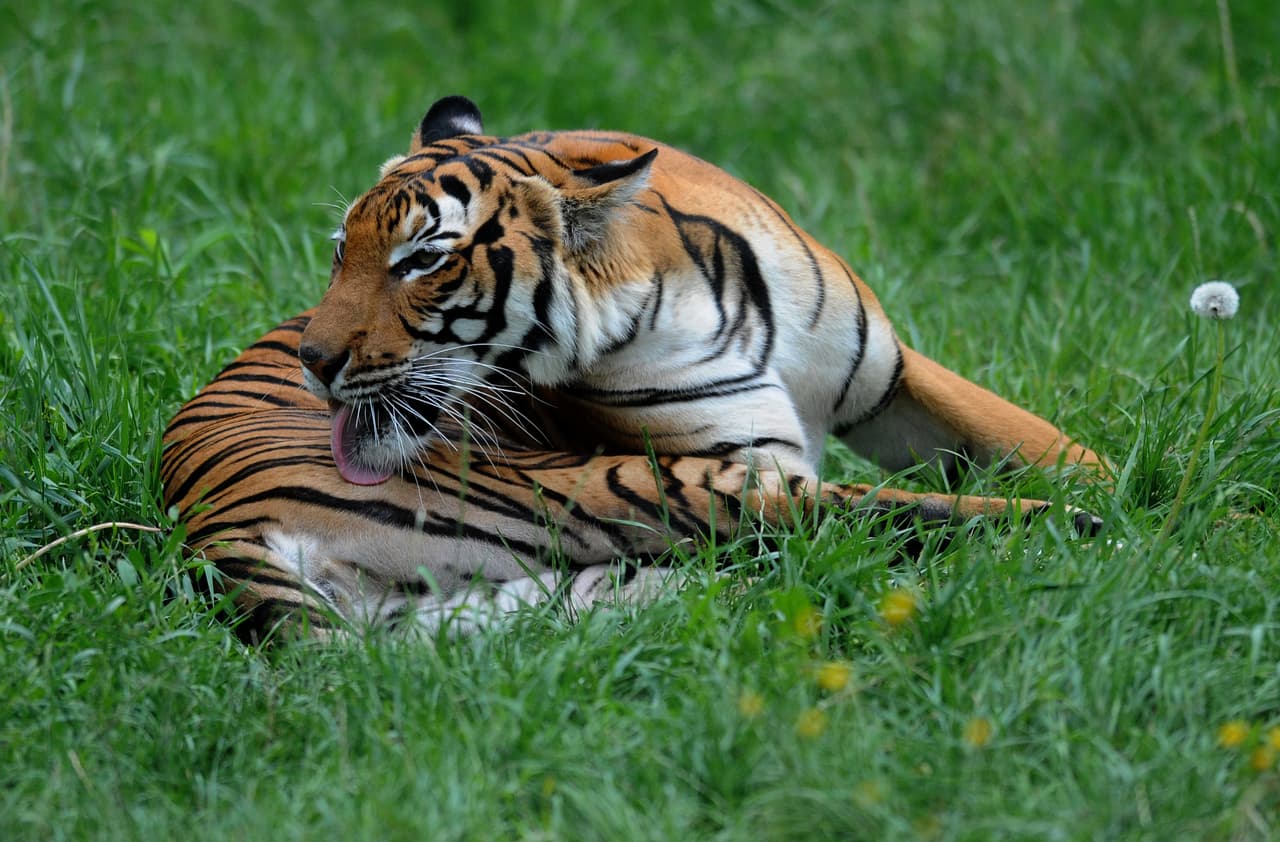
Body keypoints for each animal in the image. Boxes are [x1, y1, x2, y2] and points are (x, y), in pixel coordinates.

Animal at [161, 96, 1107, 640]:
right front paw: (1118, 511)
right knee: (868, 531)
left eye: (421, 260)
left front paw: (1117, 476)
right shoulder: (746, 454)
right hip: (636, 484)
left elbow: (1056, 447)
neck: (663, 281)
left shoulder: (889, 375)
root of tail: (214, 531)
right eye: (341, 253)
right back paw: (1078, 535)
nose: (315, 362)